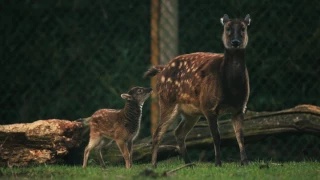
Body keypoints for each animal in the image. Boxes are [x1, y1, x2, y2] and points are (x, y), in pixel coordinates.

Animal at [144, 14, 251, 167]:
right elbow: (216, 137)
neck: (231, 89)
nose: (235, 42)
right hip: (167, 101)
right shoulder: (208, 106)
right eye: (227, 28)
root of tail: (162, 69)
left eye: (243, 28)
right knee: (158, 133)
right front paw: (218, 163)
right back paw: (154, 165)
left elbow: (240, 136)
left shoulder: (240, 107)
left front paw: (245, 162)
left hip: (191, 112)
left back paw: (189, 163)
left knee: (178, 132)